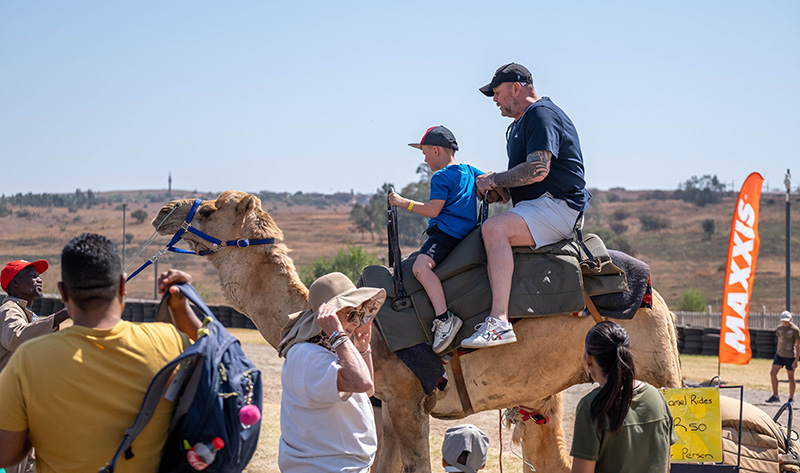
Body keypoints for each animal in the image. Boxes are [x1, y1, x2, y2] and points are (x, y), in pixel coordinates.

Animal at [153, 190, 683, 472]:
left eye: (208, 210)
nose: (165, 210)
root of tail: (651, 292)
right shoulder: (383, 405)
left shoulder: (410, 401)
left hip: (659, 373)